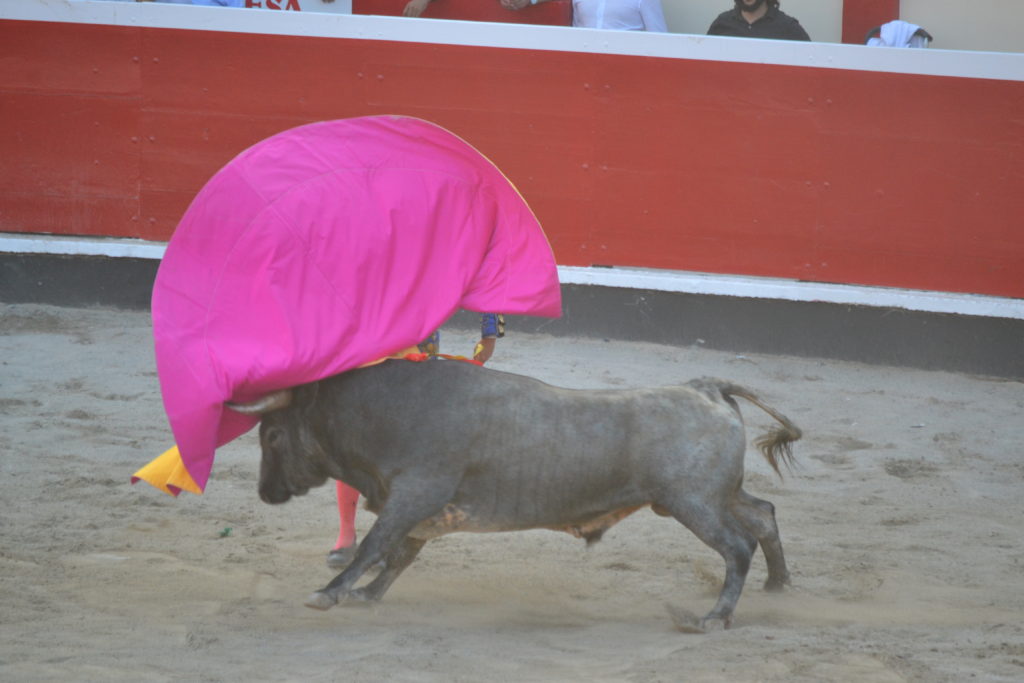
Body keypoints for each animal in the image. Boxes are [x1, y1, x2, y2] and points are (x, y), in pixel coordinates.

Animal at [232, 358, 798, 630]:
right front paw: (367, 596)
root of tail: (705, 387)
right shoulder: (423, 507)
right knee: (763, 514)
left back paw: (715, 617)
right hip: (713, 496)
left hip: (693, 502)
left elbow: (376, 546)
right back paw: (778, 585)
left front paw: (329, 594)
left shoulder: (414, 494)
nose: (265, 493)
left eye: (272, 435)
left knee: (737, 546)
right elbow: (398, 555)